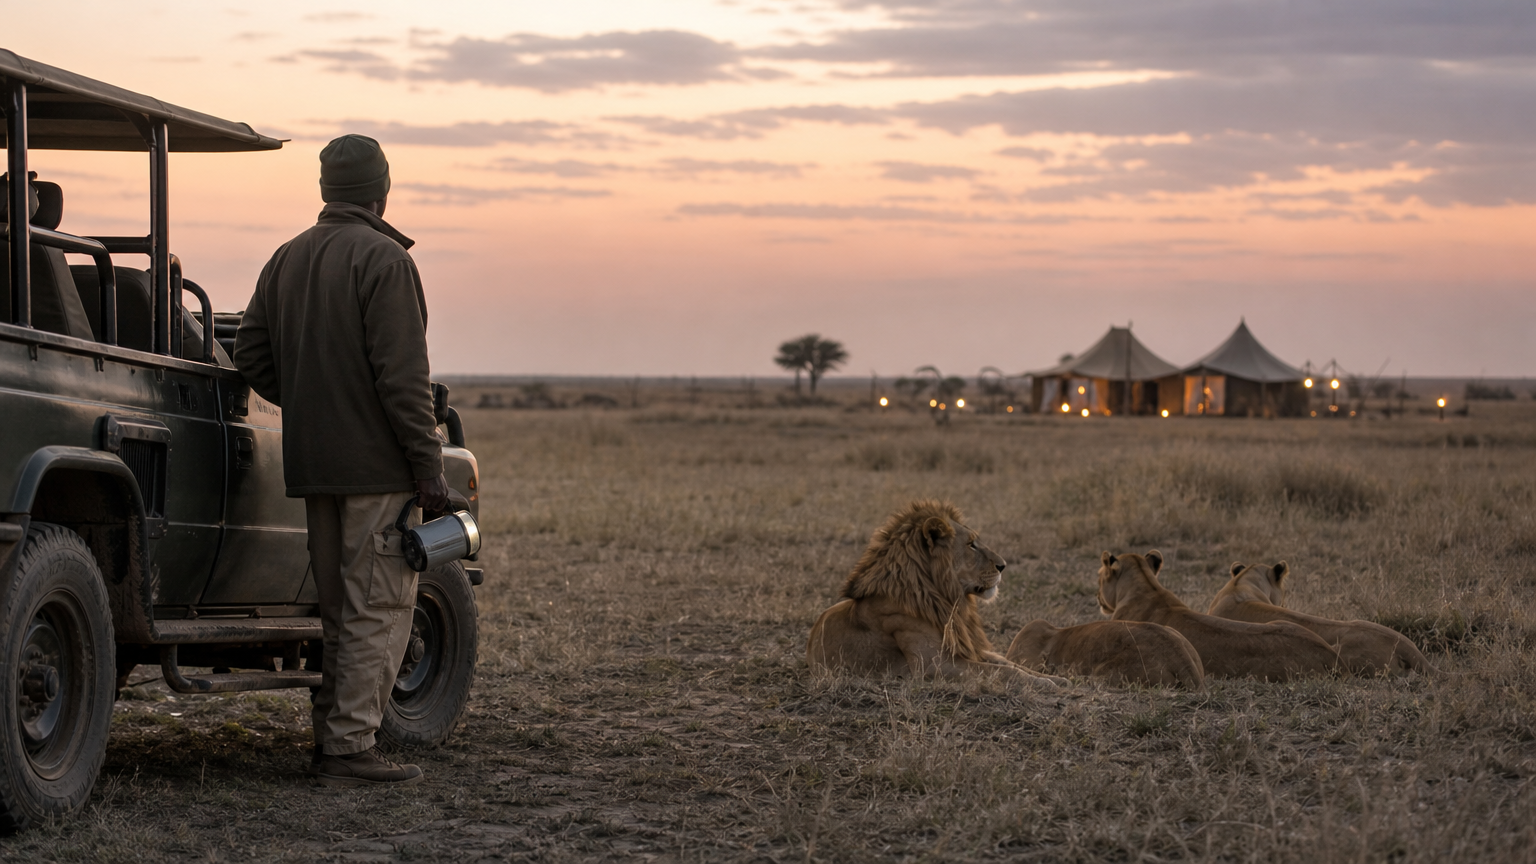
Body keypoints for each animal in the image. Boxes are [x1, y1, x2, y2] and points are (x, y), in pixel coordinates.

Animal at [806, 500, 1063, 689]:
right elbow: (1002, 671)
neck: (948, 599)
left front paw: (1058, 679)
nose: (1004, 566)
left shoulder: (969, 648)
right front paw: (1046, 684)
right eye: (971, 544)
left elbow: (1009, 663)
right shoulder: (934, 665)